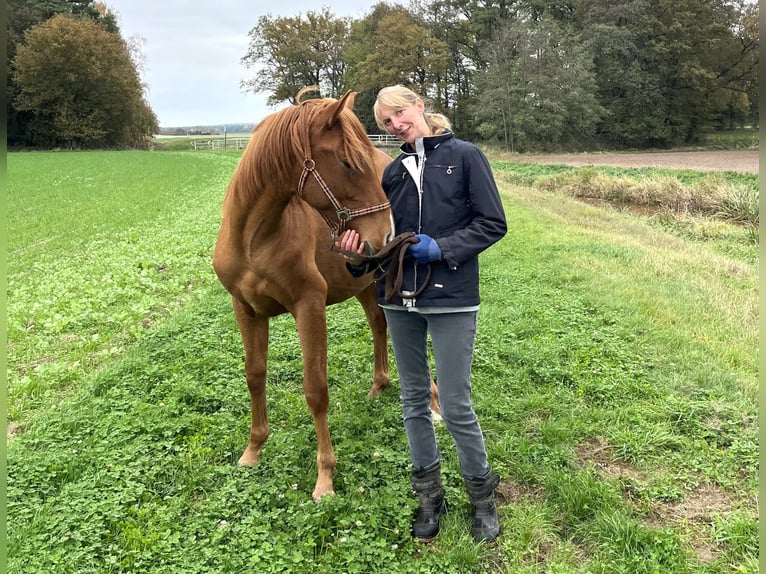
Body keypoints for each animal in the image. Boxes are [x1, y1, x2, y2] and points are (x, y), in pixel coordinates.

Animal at [213, 88, 400, 502]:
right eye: (346, 162)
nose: (385, 234)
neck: (256, 240)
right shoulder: (245, 309)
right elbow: (255, 374)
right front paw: (253, 449)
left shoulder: (309, 307)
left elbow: (316, 390)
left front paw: (325, 477)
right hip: (364, 285)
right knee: (378, 325)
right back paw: (378, 385)